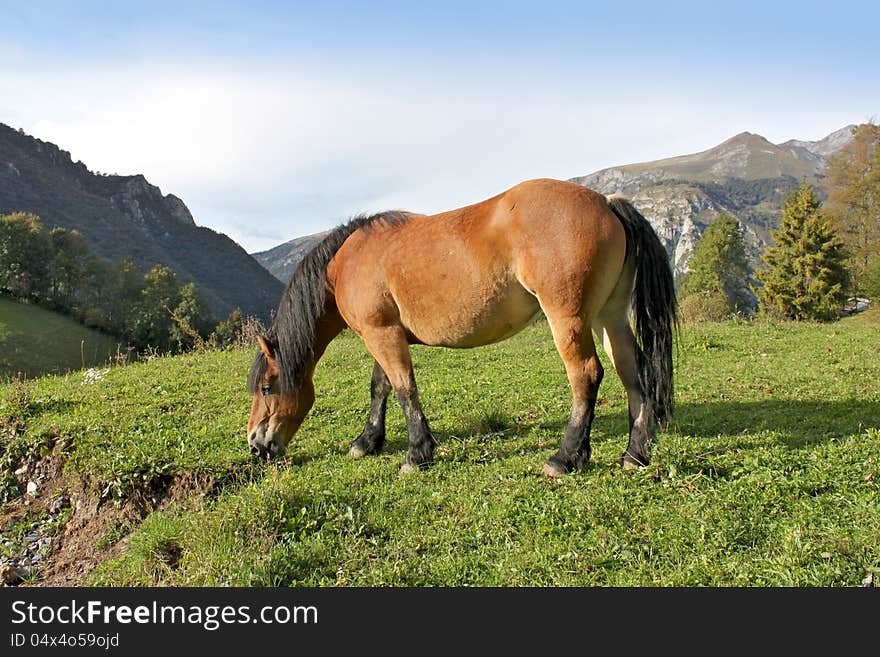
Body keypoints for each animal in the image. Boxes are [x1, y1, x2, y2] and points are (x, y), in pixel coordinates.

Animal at [244, 178, 676, 476]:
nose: (255, 444)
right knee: (634, 373)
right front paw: (367, 442)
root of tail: (607, 202)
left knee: (586, 375)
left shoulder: (381, 334)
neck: (345, 263)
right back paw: (634, 454)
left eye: (266, 387)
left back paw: (565, 457)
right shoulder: (382, 332)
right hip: (609, 318)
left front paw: (417, 454)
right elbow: (380, 387)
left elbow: (403, 388)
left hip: (567, 319)